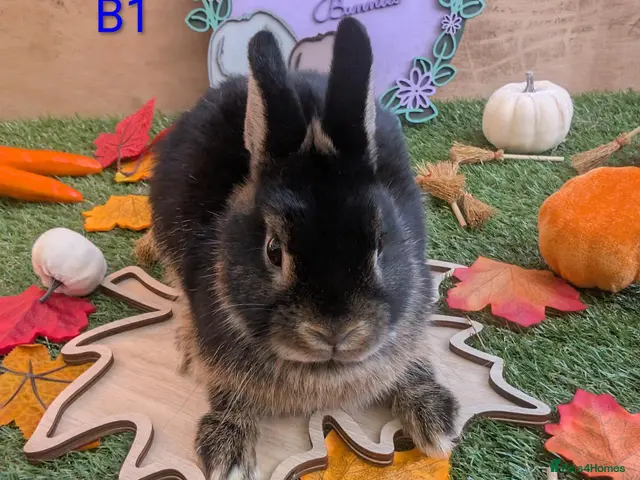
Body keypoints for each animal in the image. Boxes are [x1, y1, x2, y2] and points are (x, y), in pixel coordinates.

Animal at [148, 16, 459, 480]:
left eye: (380, 243)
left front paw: (436, 422)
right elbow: (226, 390)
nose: (335, 332)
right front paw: (227, 452)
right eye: (273, 250)